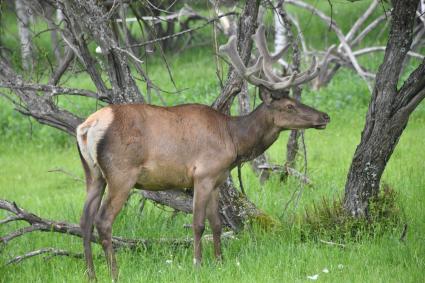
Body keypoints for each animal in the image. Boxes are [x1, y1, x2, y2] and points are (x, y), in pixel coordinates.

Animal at [75, 25, 328, 282]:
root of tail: (87, 126)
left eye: (295, 99)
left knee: (84, 220)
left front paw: (220, 262)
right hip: (121, 173)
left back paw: (90, 274)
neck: (233, 141)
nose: (324, 116)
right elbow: (198, 223)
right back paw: (114, 273)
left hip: (93, 174)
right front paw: (197, 264)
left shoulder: (217, 179)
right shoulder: (203, 174)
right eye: (289, 106)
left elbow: (216, 223)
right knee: (103, 220)